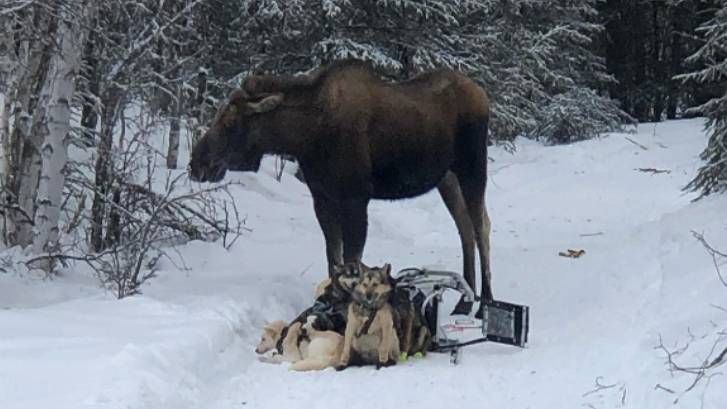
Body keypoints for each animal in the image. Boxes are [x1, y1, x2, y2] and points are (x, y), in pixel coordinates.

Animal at [189, 59, 494, 314]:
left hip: (473, 168)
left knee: (482, 227)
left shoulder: (355, 198)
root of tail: (483, 93)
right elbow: (333, 259)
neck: (305, 136)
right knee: (465, 228)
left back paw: (485, 304)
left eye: (230, 121)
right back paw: (465, 302)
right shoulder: (322, 197)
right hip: (447, 178)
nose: (196, 163)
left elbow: (351, 260)